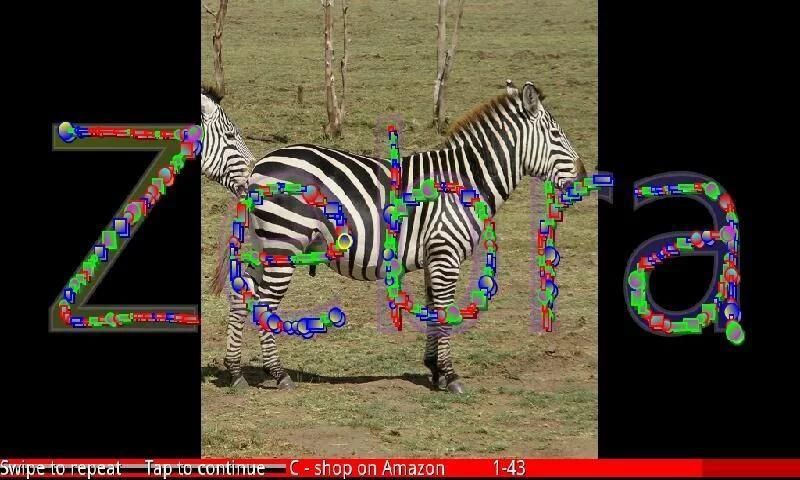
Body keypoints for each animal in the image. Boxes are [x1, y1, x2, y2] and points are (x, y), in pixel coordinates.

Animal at [200, 80, 587, 393]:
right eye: (557, 135)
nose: (584, 174)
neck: (466, 182)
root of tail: (257, 169)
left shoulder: (435, 255)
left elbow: (431, 307)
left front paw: (435, 369)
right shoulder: (446, 252)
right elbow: (443, 309)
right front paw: (450, 375)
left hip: (261, 244)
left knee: (241, 297)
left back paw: (235, 372)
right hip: (283, 243)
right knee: (264, 303)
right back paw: (278, 374)